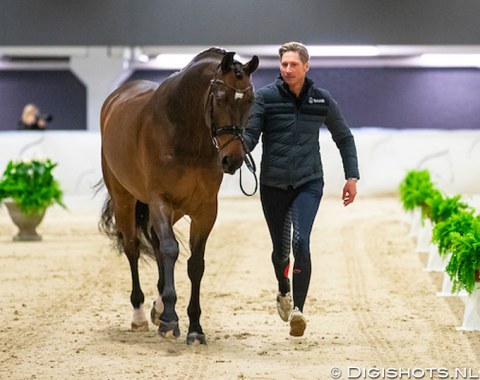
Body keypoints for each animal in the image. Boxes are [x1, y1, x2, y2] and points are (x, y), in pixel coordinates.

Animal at [99, 47, 258, 344]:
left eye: (251, 100)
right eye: (220, 98)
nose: (232, 160)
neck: (187, 134)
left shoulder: (205, 209)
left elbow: (195, 264)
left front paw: (194, 327)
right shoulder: (160, 200)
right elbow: (171, 249)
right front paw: (170, 320)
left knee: (155, 241)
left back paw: (159, 305)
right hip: (125, 200)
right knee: (133, 248)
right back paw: (140, 315)